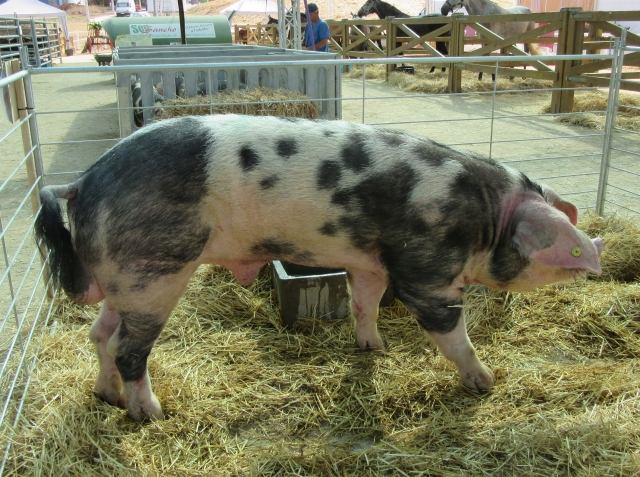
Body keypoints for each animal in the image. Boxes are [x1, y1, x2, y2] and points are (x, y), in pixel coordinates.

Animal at [35, 114, 604, 420]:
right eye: (569, 247)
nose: (597, 250)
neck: (486, 217)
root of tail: (82, 182)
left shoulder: (369, 262)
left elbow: (364, 302)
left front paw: (375, 349)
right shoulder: (426, 271)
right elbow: (450, 333)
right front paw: (486, 382)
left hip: (123, 280)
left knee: (99, 334)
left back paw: (106, 395)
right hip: (153, 272)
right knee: (129, 348)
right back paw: (152, 413)